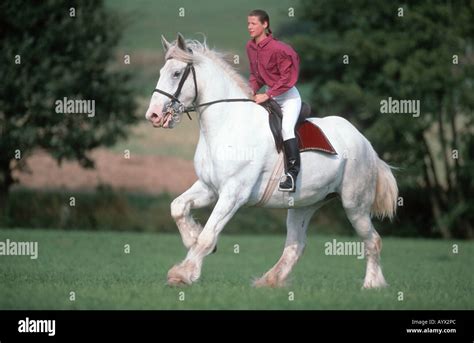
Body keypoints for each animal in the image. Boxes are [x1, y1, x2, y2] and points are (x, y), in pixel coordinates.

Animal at [146, 33, 398, 288]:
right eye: (160, 71)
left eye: (176, 73)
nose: (153, 115)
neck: (227, 123)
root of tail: (365, 142)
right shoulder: (209, 188)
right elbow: (177, 207)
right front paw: (191, 238)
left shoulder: (233, 194)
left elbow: (208, 236)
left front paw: (183, 274)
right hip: (303, 205)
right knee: (296, 245)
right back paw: (270, 281)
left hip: (355, 204)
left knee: (373, 240)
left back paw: (372, 284)